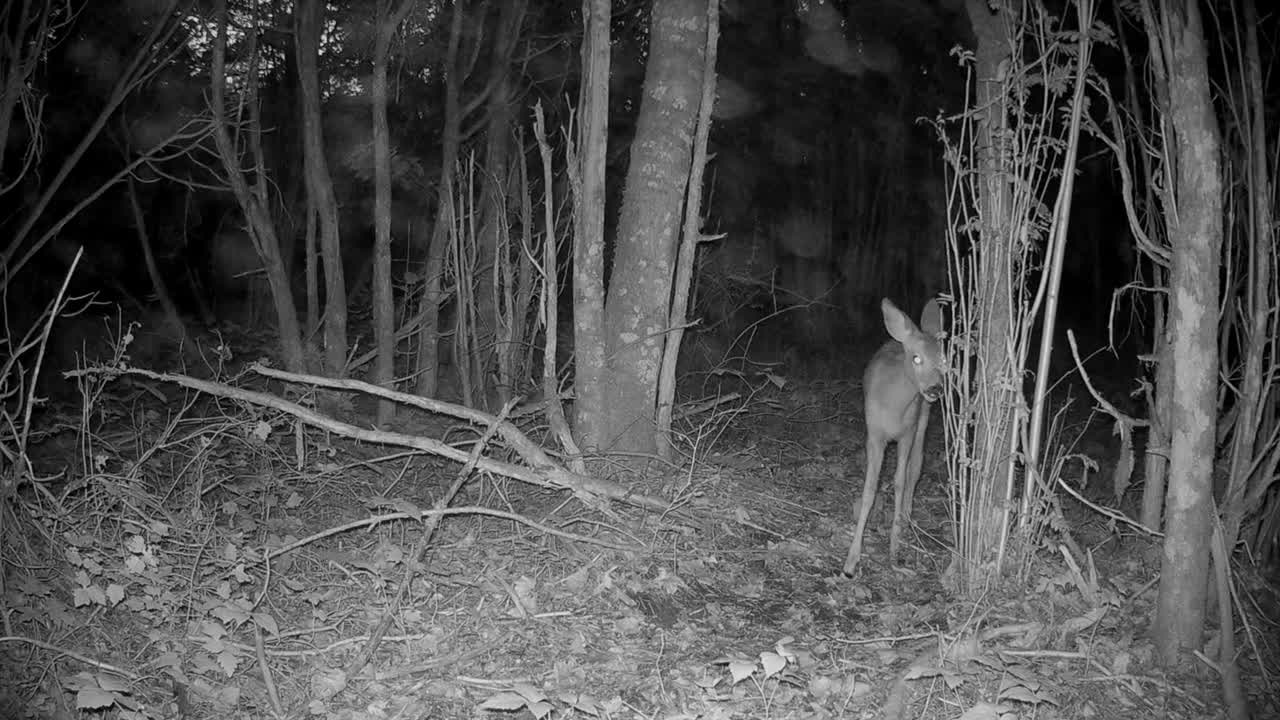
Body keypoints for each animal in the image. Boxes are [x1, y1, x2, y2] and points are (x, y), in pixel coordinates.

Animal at [843, 297, 945, 576]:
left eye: (944, 359)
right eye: (916, 358)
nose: (935, 388)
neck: (894, 406)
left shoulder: (907, 432)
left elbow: (900, 480)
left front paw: (894, 549)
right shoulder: (874, 434)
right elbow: (870, 488)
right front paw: (851, 561)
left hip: (923, 417)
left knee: (916, 466)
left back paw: (907, 519)